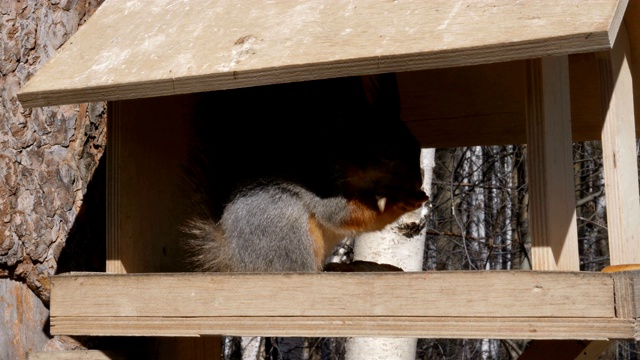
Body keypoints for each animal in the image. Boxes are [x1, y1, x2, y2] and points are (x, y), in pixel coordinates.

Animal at [182, 75, 428, 272]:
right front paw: (399, 202)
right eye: (385, 151)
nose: (417, 183)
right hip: (286, 227)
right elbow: (342, 215)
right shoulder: (325, 185)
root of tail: (230, 258)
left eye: (417, 145)